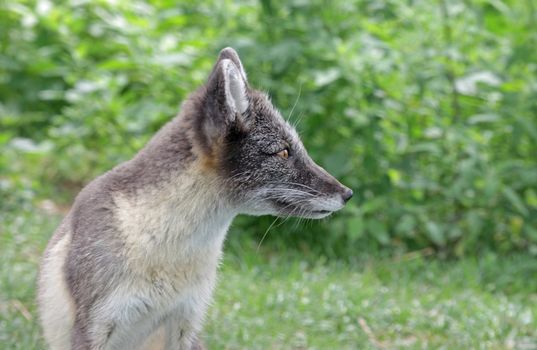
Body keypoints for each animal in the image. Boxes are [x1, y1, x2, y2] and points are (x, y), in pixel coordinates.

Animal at [39, 47, 354, 348]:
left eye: (297, 148)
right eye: (284, 152)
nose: (347, 194)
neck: (168, 250)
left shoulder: (187, 319)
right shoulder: (93, 326)